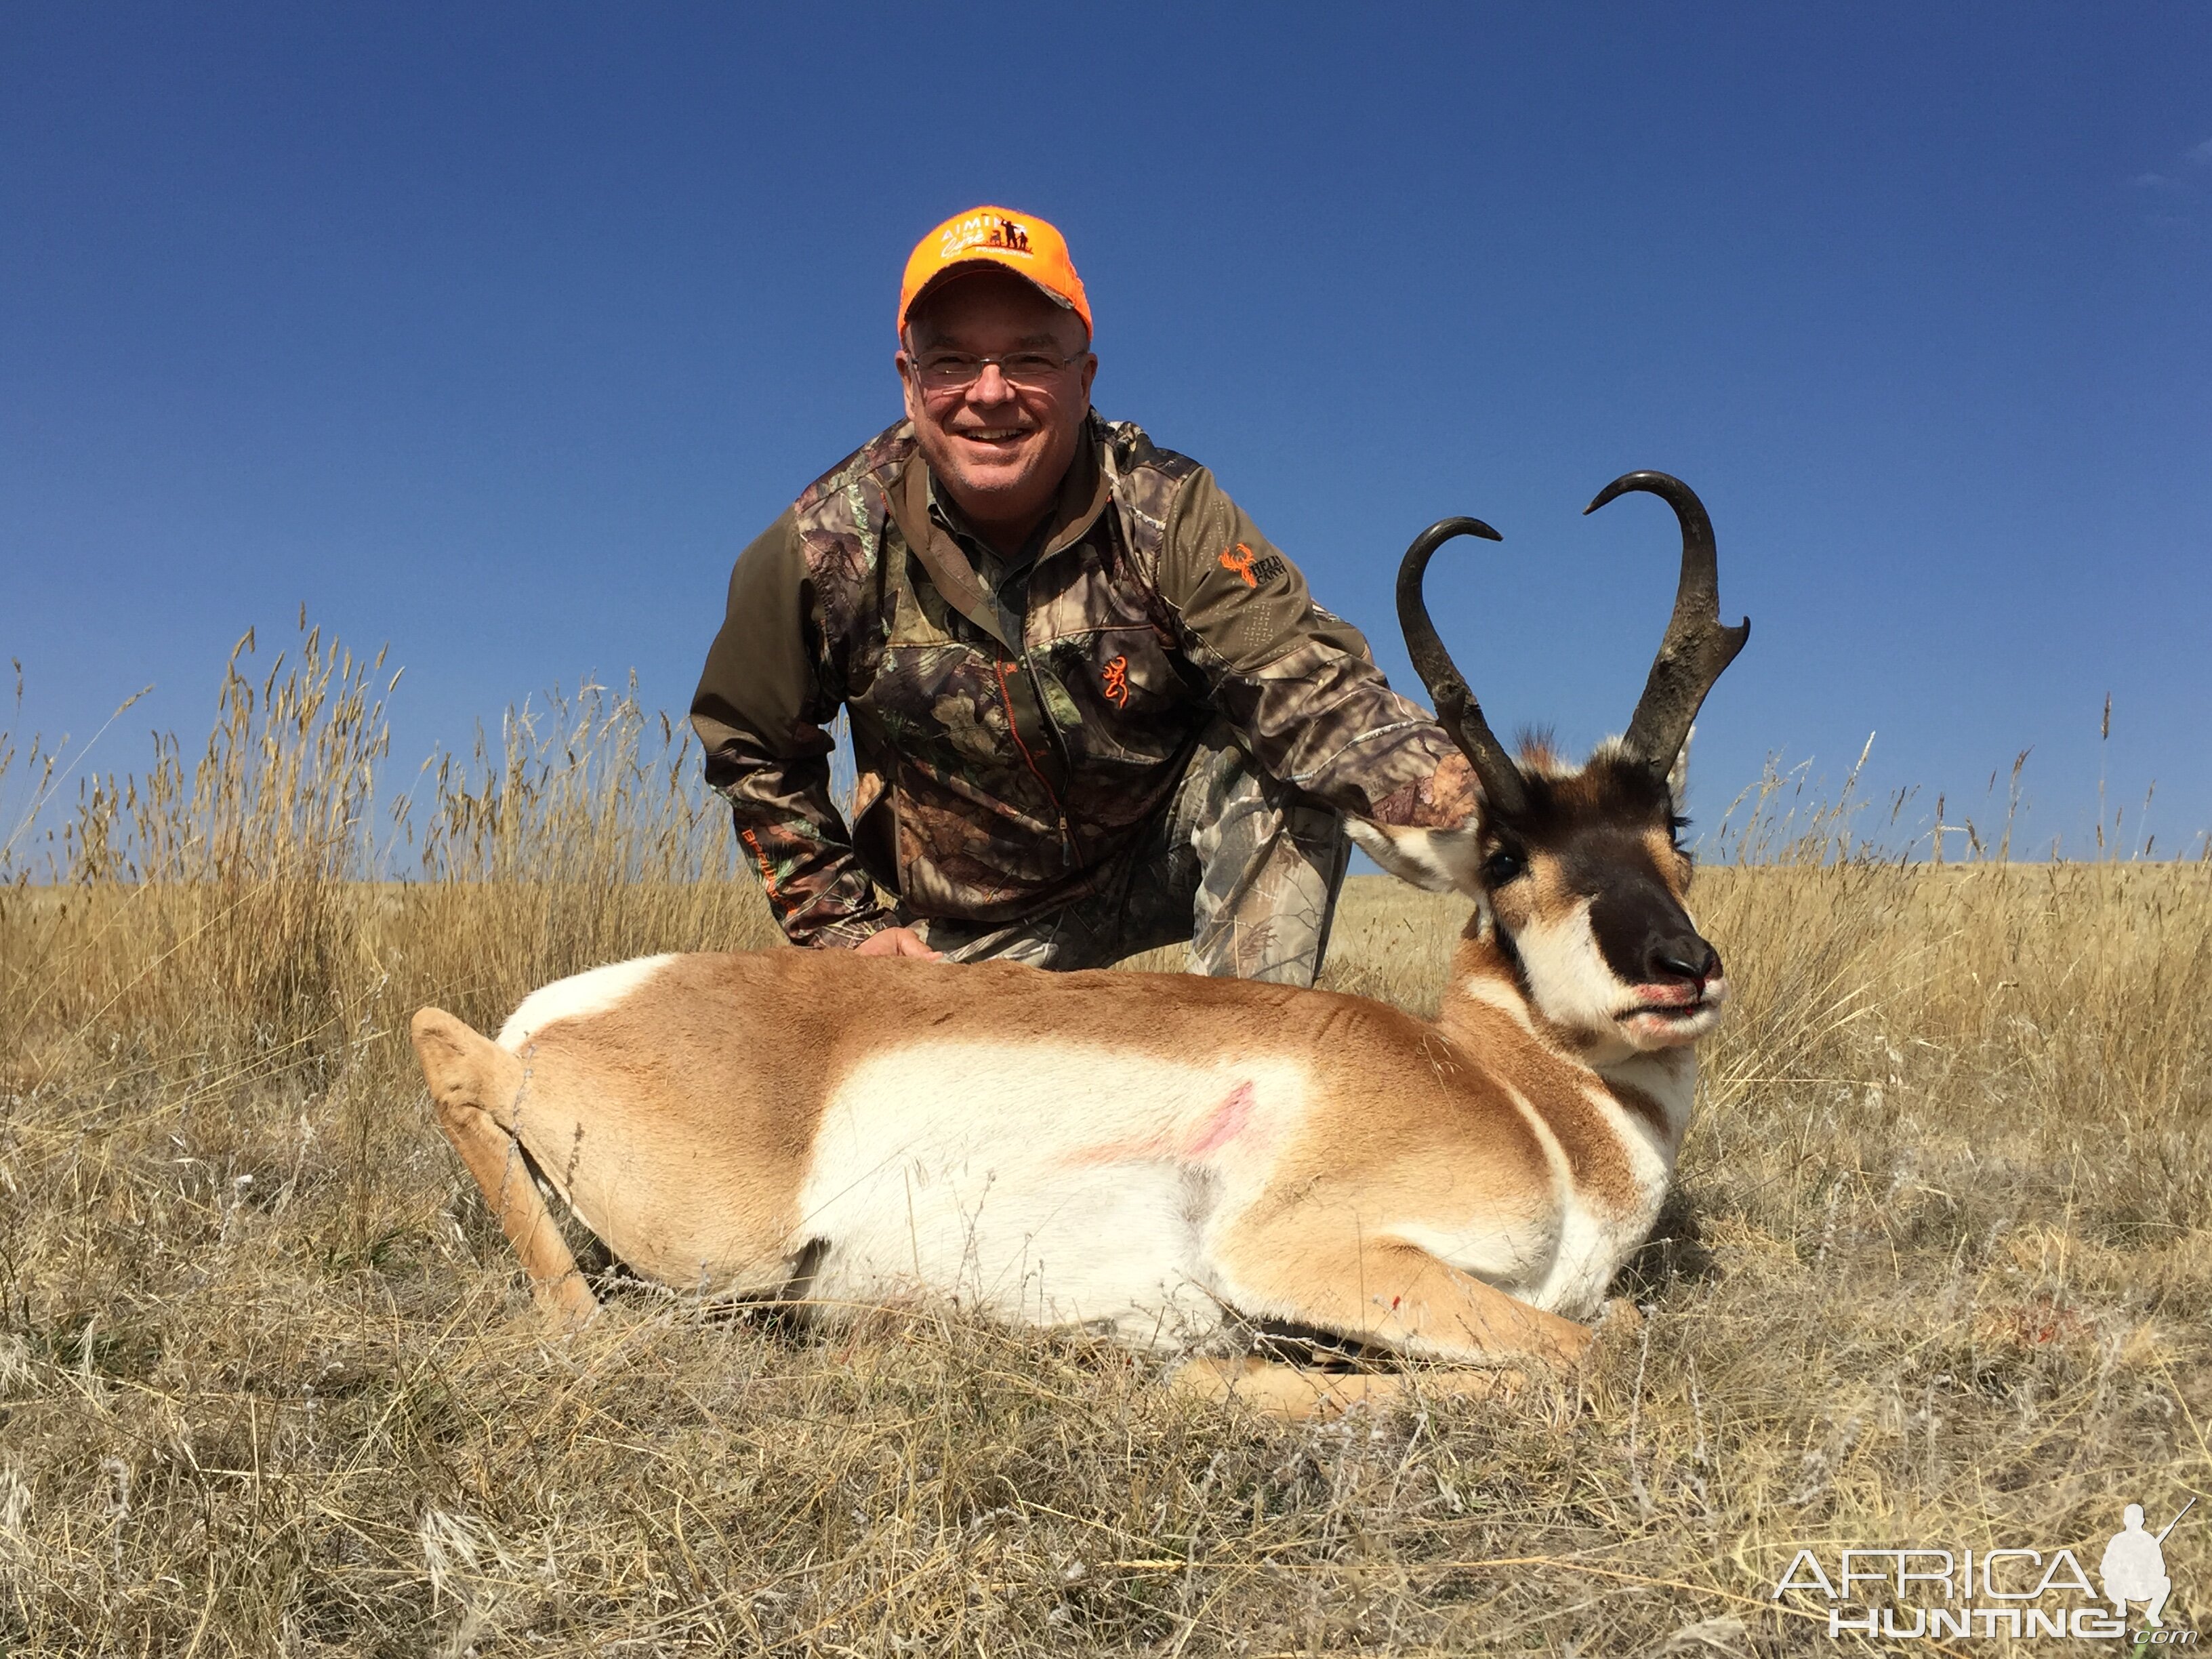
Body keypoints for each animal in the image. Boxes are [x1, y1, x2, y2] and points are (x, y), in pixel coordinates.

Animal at [411, 468, 1743, 1415]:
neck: (1513, 1092)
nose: (1679, 967)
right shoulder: (1308, 1250)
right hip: (711, 1238)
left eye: (1669, 825)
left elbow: (1617, 1330)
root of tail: (574, 1005)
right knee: (443, 1043)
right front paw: (1207, 1371)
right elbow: (1586, 1357)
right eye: (1506, 855)